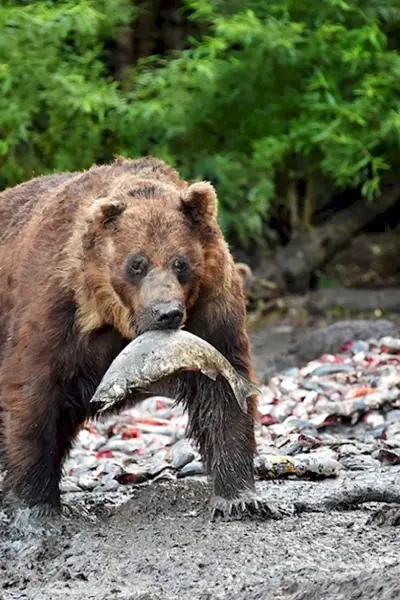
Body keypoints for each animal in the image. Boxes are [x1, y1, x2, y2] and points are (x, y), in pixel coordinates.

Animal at [0, 157, 268, 516]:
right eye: (137, 264)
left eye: (180, 263)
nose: (167, 312)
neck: (114, 317)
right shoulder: (56, 308)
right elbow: (32, 392)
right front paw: (34, 506)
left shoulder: (211, 308)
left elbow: (223, 389)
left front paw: (238, 498)